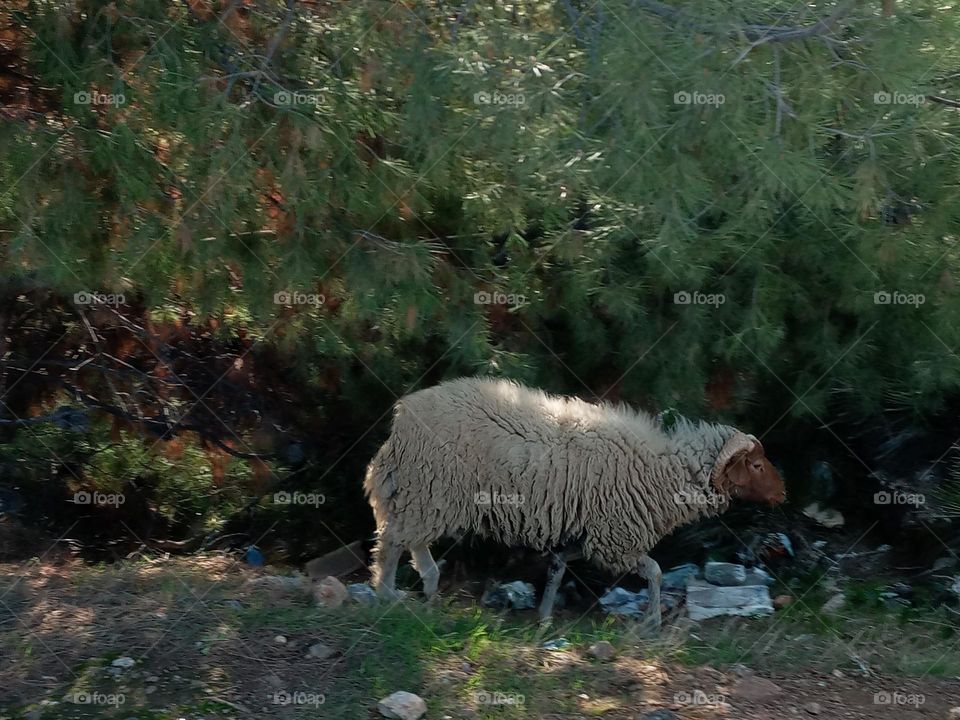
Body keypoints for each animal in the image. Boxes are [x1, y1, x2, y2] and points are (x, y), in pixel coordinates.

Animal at [364, 377, 785, 627]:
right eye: (756, 465)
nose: (784, 493)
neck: (663, 472)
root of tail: (402, 418)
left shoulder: (592, 535)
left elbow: (558, 565)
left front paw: (545, 614)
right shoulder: (617, 539)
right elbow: (654, 572)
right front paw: (652, 620)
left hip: (427, 494)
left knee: (412, 540)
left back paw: (429, 585)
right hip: (430, 488)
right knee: (393, 540)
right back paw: (387, 592)